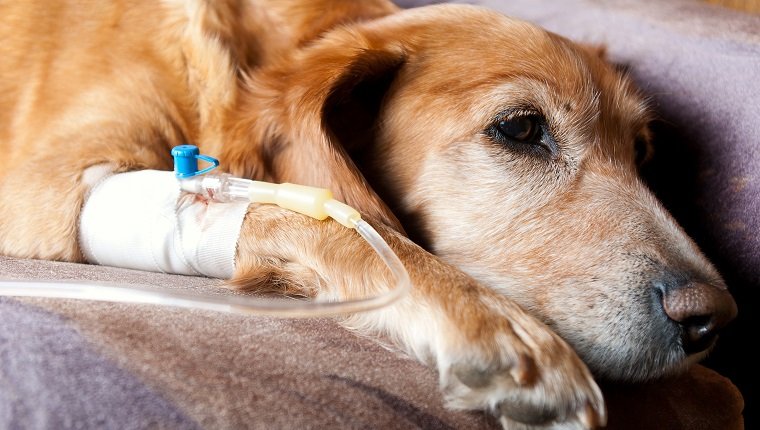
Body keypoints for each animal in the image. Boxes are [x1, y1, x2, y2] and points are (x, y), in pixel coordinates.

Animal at [0, 1, 736, 428]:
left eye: (641, 153)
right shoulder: (48, 188)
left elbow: (727, 395)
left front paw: (701, 393)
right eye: (522, 128)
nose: (712, 320)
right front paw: (496, 325)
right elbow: (346, 225)